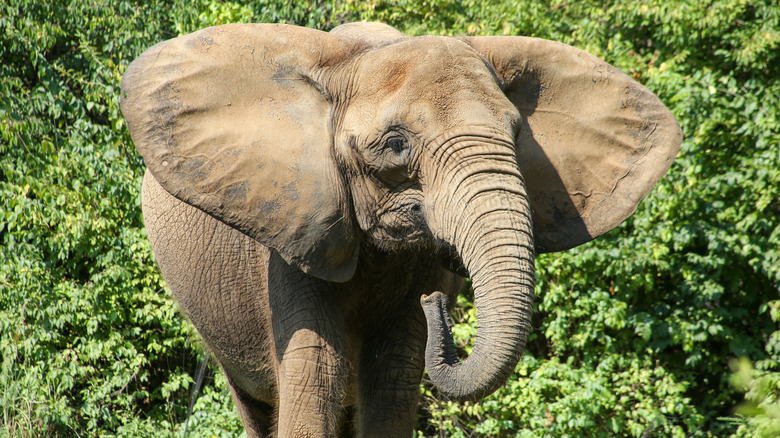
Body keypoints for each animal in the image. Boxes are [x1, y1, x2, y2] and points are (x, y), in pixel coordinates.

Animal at [119, 21, 680, 438]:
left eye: (518, 134)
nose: (438, 305)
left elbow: (393, 374)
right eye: (395, 145)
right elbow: (315, 373)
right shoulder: (293, 233)